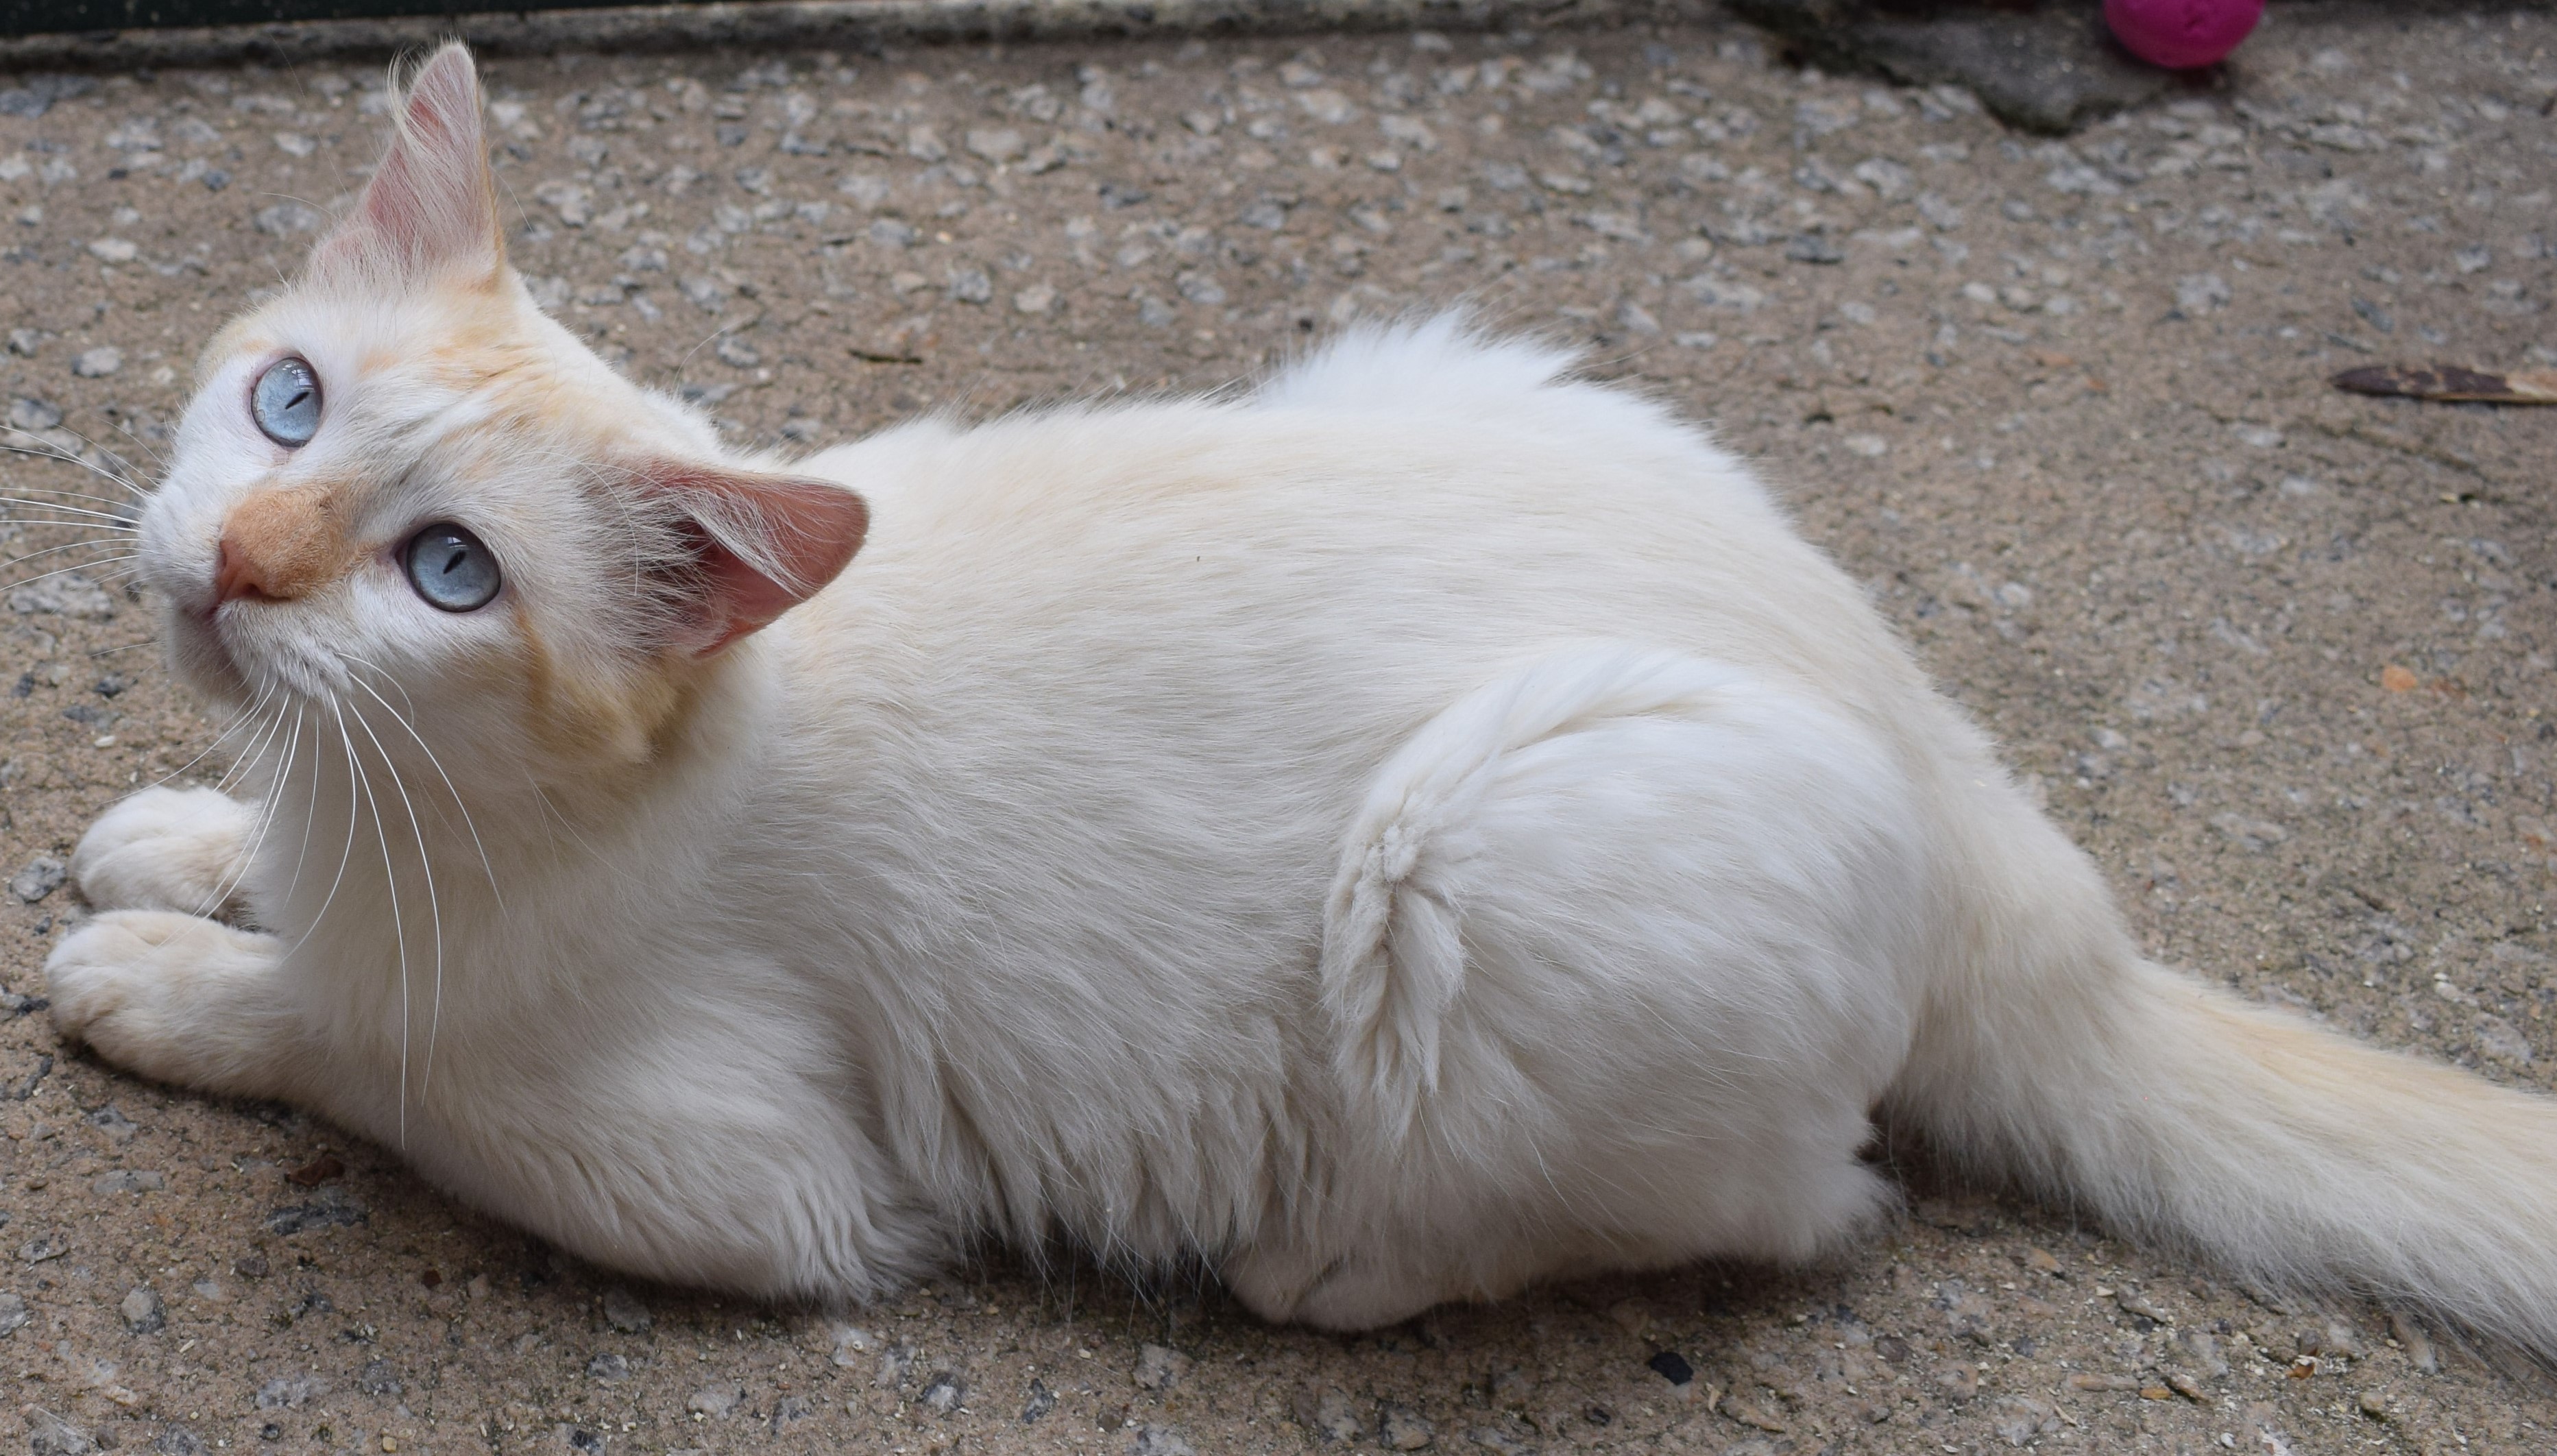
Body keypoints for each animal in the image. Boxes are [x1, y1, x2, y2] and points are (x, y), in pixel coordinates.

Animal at [35, 43, 2557, 1341]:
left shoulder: (739, 1181)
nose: (238, 566)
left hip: (1495, 858)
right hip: (1435, 363)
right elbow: (275, 882)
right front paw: (192, 840)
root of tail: (2001, 820)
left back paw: (1318, 1259)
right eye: (283, 405)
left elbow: (371, 1048)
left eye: (450, 574)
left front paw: (162, 972)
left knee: (1793, 1201)